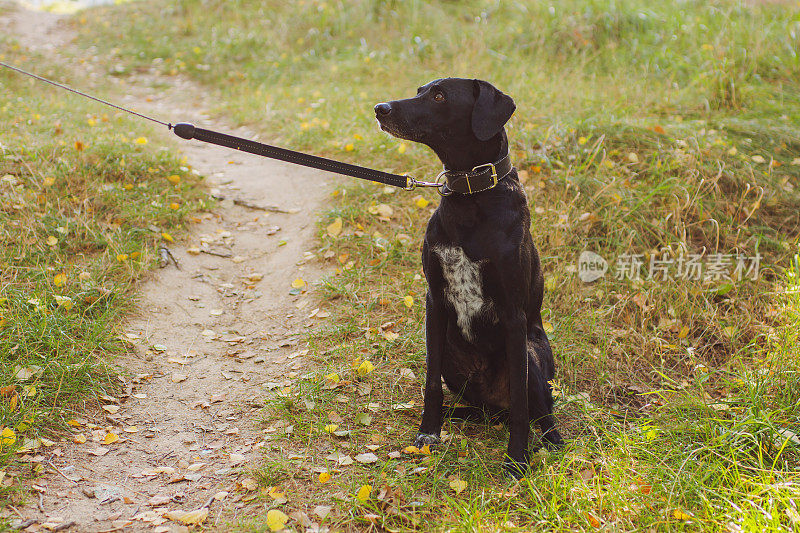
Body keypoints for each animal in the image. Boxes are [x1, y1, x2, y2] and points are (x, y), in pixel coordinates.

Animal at [376, 78, 564, 478]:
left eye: (439, 96)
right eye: (421, 89)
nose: (379, 109)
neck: (471, 195)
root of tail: (492, 408)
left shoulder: (513, 314)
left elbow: (523, 406)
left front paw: (516, 458)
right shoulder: (434, 301)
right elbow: (430, 384)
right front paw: (428, 432)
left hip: (531, 353)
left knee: (541, 410)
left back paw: (552, 440)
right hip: (450, 354)